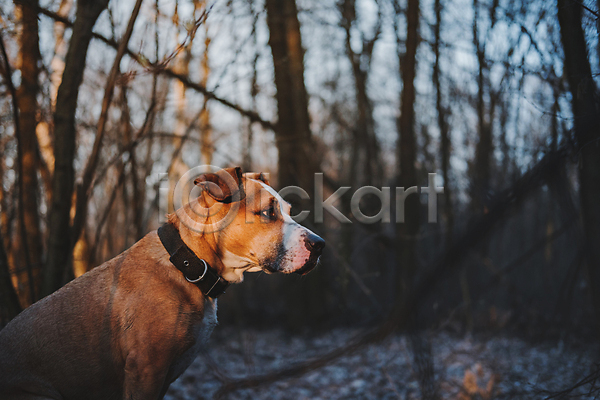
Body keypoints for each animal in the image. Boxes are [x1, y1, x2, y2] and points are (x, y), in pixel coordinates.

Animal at [0, 168, 324, 400]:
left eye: (288, 209)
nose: (320, 245)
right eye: (268, 212)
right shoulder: (146, 370)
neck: (188, 264)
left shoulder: (164, 375)